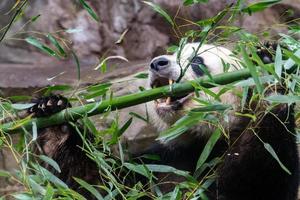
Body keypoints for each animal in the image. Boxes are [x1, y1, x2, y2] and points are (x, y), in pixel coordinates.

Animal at [27, 43, 298, 199]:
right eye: (172, 54)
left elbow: (258, 173)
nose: (157, 63)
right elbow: (98, 186)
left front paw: (268, 70)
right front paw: (54, 118)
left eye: (197, 61)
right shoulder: (155, 162)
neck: (200, 138)